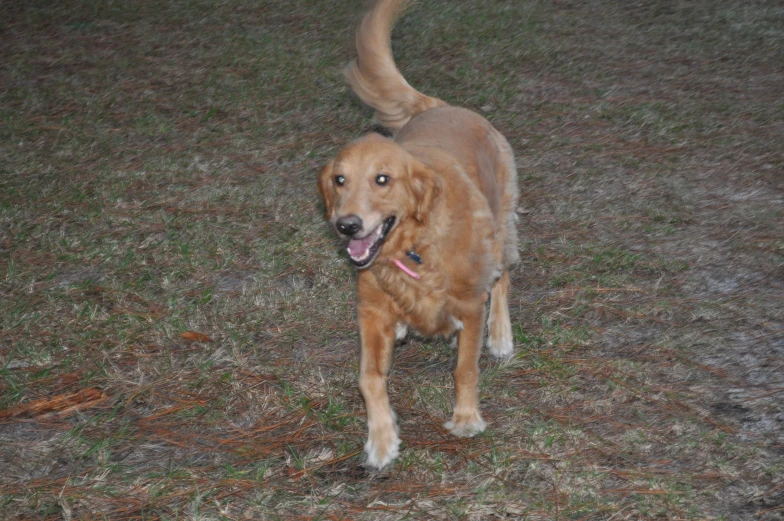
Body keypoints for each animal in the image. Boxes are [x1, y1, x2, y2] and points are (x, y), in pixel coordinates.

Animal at [316, 0, 516, 468]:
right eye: (339, 180)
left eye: (382, 179)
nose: (346, 225)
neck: (413, 248)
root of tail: (440, 105)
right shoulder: (371, 313)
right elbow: (369, 378)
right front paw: (381, 440)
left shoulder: (469, 305)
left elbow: (465, 367)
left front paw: (466, 418)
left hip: (501, 225)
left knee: (504, 276)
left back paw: (501, 336)